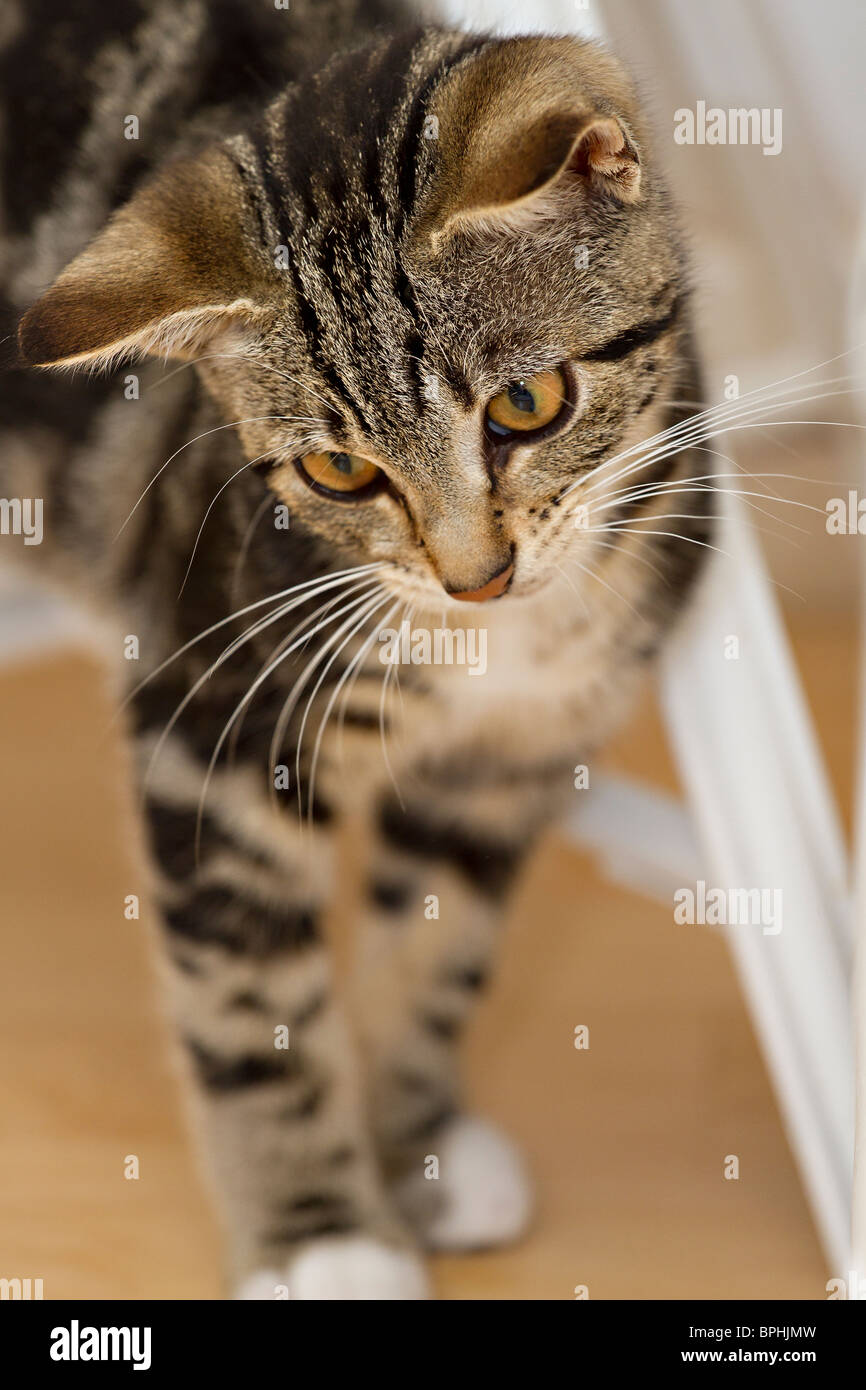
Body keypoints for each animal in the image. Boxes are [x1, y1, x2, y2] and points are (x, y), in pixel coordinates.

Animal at [0, 2, 711, 1301]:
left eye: (525, 402)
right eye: (338, 470)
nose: (475, 574)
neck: (500, 645)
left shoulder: (508, 758)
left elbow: (437, 945)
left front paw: (413, 1141)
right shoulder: (213, 715)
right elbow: (252, 1001)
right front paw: (323, 1231)